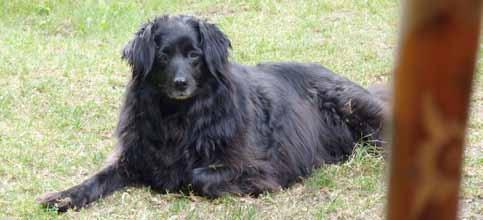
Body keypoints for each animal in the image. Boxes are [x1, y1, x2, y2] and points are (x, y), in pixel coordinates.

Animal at [36, 15, 388, 211]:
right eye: (163, 56)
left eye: (194, 55)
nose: (180, 84)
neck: (179, 116)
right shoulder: (133, 154)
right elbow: (97, 177)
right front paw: (63, 197)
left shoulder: (259, 168)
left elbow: (195, 175)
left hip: (354, 108)